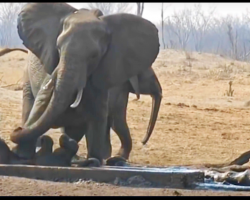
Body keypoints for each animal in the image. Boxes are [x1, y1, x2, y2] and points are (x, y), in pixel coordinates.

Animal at [10, 3, 160, 166]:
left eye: (94, 56)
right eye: (58, 48)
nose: (143, 142)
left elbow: (99, 116)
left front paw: (95, 160)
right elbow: (39, 107)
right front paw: (22, 155)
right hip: (27, 76)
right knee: (29, 105)